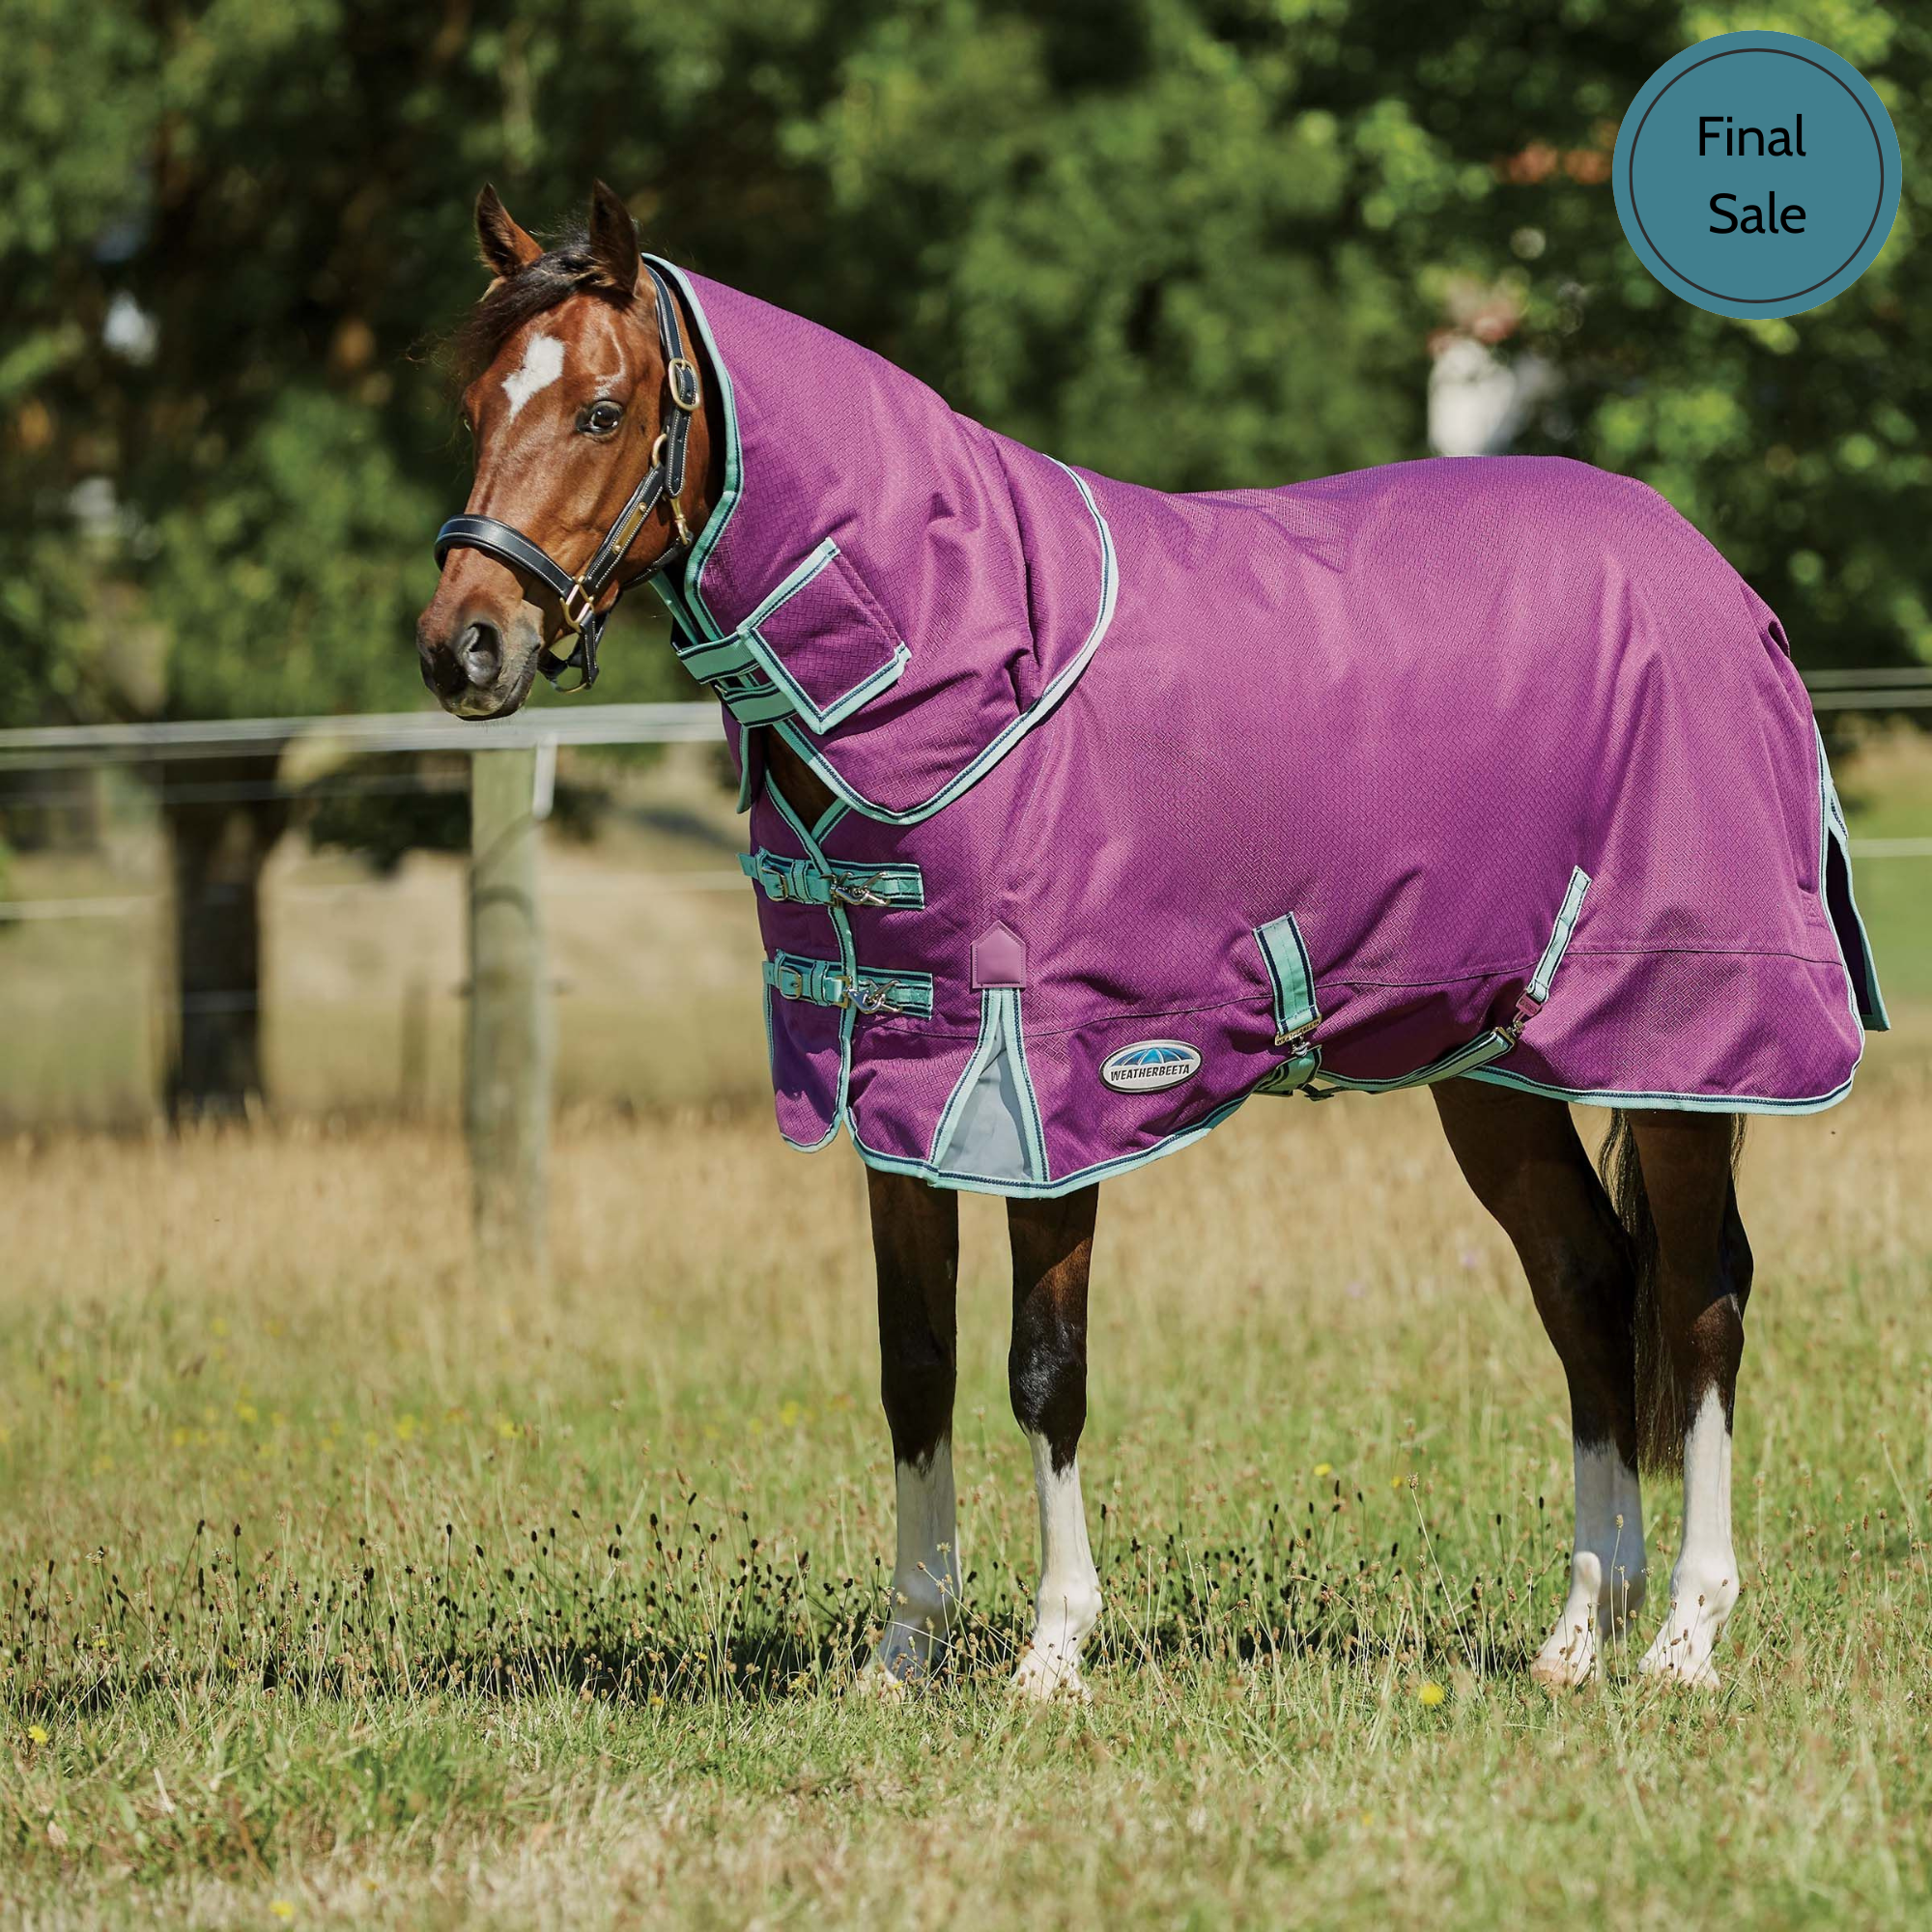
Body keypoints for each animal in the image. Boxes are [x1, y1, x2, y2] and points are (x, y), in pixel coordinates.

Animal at [416, 182, 1884, 1700]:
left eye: (600, 410)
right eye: (471, 400)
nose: (464, 646)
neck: (961, 645)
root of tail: (1719, 584)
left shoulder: (1045, 1092)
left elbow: (1042, 1365)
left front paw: (1053, 1649)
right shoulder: (899, 1084)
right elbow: (913, 1363)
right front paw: (904, 1649)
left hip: (1686, 1050)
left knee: (1701, 1300)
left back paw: (1685, 1632)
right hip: (1492, 1066)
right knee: (1588, 1287)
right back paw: (1579, 1629)